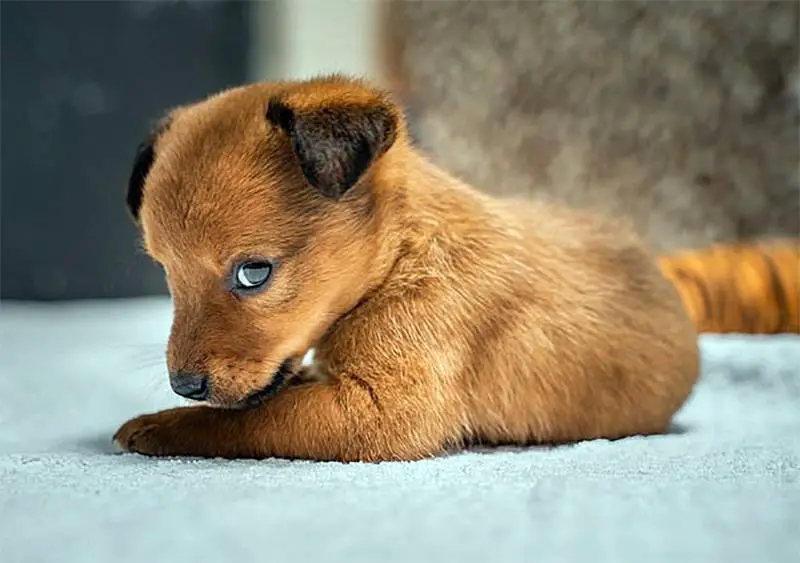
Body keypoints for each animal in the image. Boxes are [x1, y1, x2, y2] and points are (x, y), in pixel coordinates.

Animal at [114, 75, 700, 462]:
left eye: (253, 273)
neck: (402, 253)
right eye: (167, 273)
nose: (183, 385)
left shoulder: (379, 414)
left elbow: (251, 419)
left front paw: (159, 426)